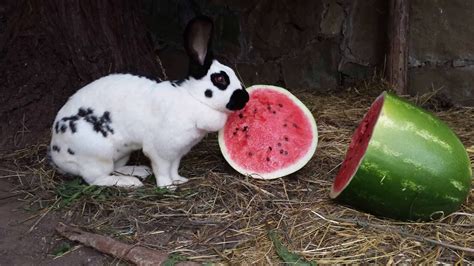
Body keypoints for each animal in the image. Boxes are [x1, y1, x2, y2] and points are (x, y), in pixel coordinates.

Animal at [48, 15, 250, 188]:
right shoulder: (160, 150)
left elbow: (174, 168)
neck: (192, 98)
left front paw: (179, 180)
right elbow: (162, 169)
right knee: (97, 179)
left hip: (121, 153)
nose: (246, 98)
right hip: (96, 154)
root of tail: (56, 154)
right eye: (220, 79)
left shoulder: (178, 153)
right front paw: (167, 186)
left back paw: (139, 171)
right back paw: (130, 182)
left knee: (115, 168)